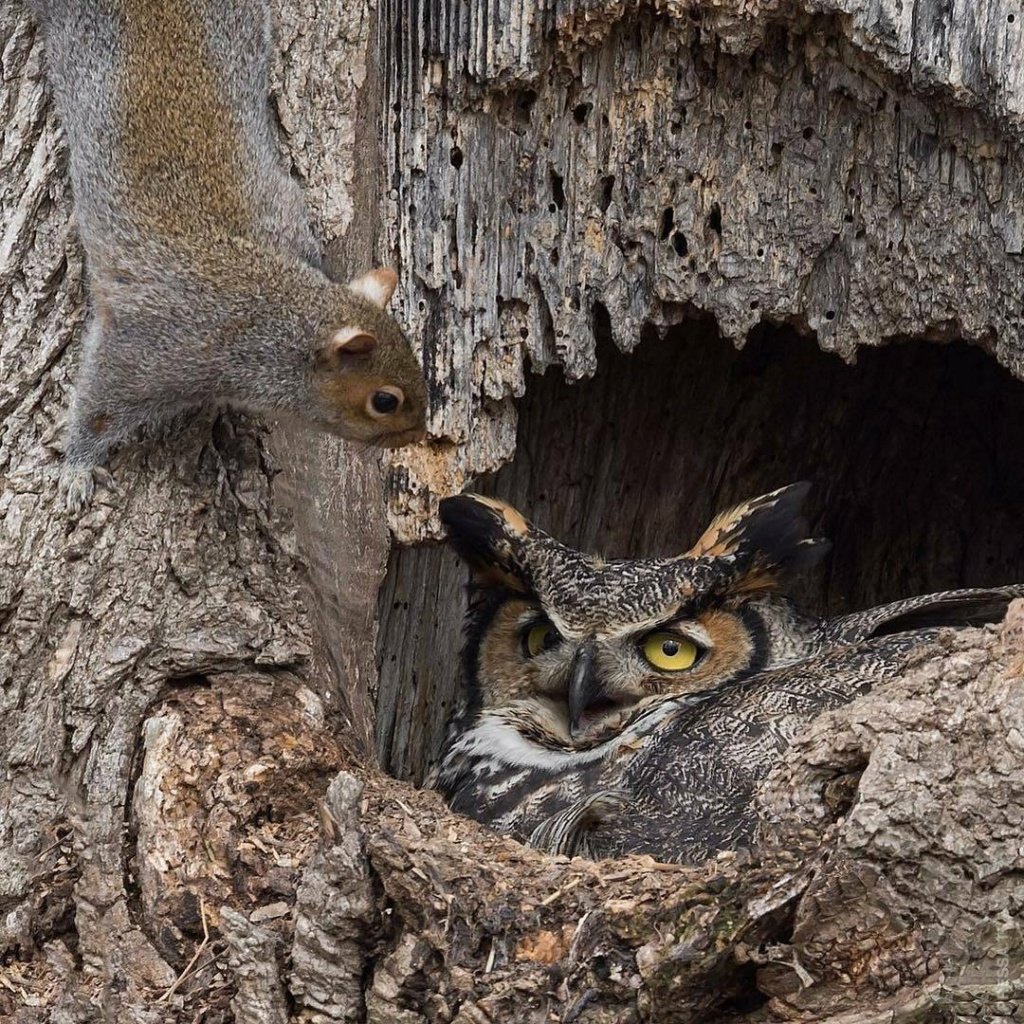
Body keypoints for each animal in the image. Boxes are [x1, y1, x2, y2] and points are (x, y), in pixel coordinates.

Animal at [29, 0, 425, 512]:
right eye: (385, 401)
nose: (418, 435)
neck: (270, 317)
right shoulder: (160, 351)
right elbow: (100, 404)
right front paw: (76, 469)